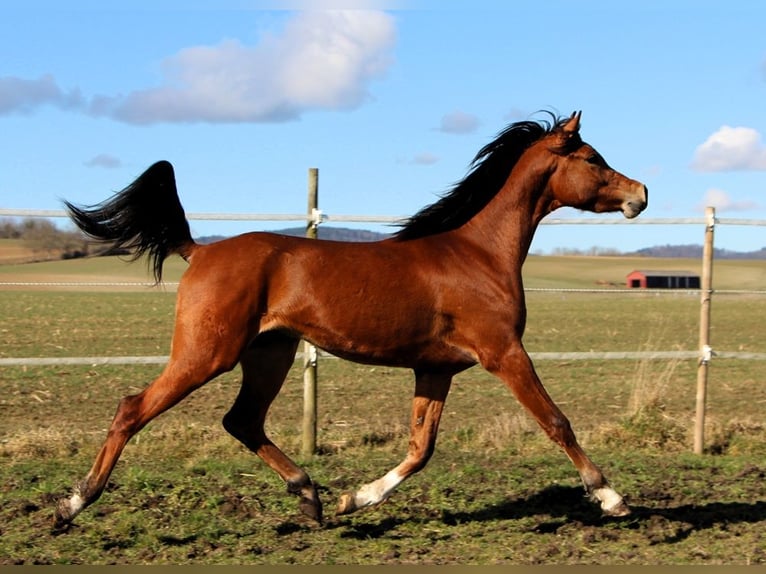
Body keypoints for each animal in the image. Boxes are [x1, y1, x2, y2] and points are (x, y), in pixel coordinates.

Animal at [52, 111, 648, 532]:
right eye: (593, 158)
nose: (640, 194)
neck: (477, 254)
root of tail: (200, 251)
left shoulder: (436, 370)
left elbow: (421, 449)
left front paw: (353, 500)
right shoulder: (503, 353)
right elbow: (556, 422)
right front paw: (612, 498)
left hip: (270, 353)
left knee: (243, 421)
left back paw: (311, 497)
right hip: (207, 354)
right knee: (133, 410)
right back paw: (71, 506)